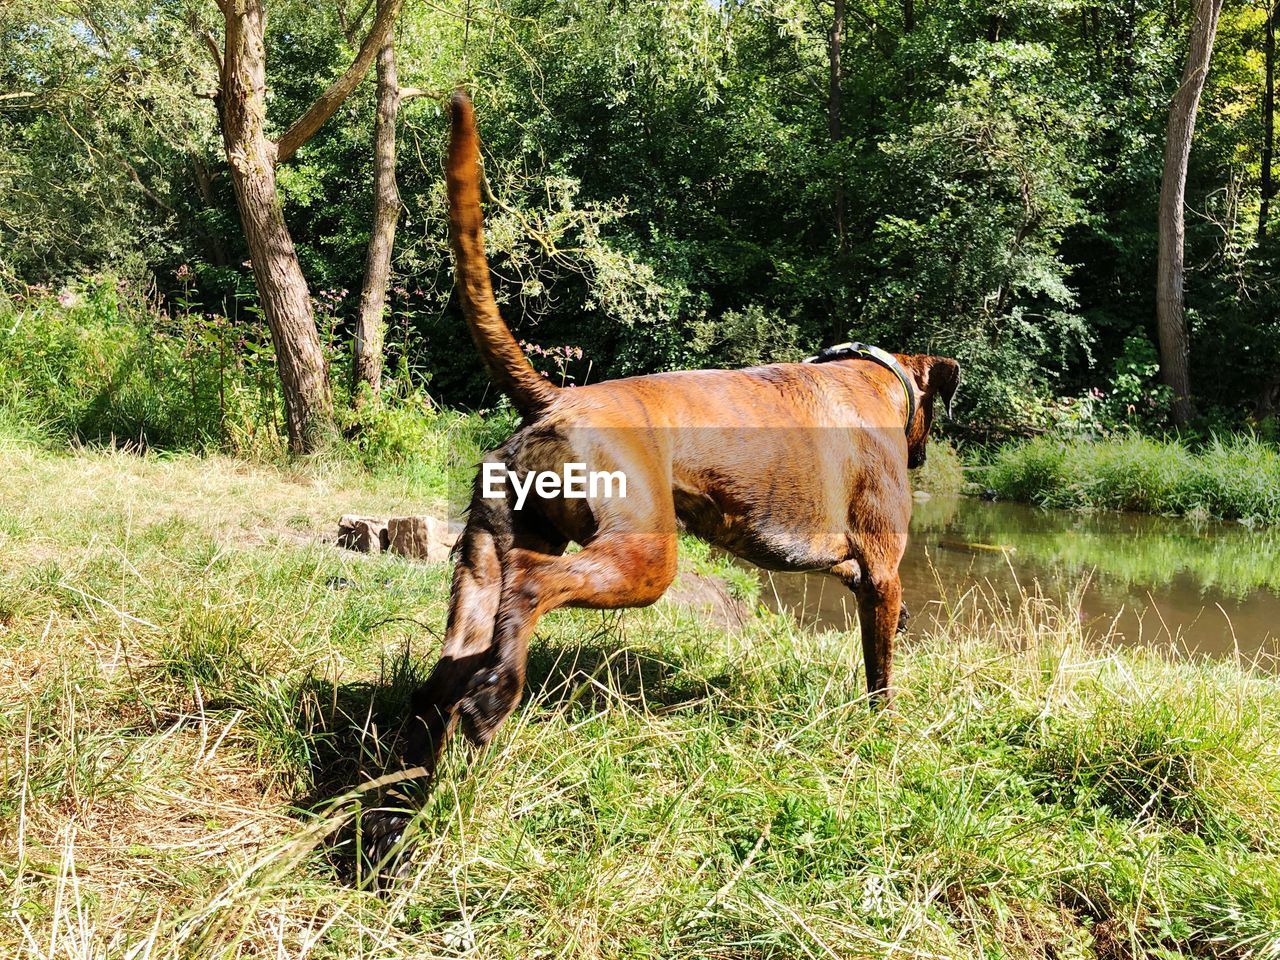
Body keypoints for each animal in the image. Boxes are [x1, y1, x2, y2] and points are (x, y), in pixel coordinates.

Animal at [389, 90, 962, 814]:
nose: (924, 456)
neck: (873, 378)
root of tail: (555, 400)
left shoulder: (860, 576)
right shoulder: (883, 573)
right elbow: (880, 672)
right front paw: (884, 731)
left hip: (487, 560)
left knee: (448, 674)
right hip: (643, 557)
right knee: (532, 589)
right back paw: (494, 701)